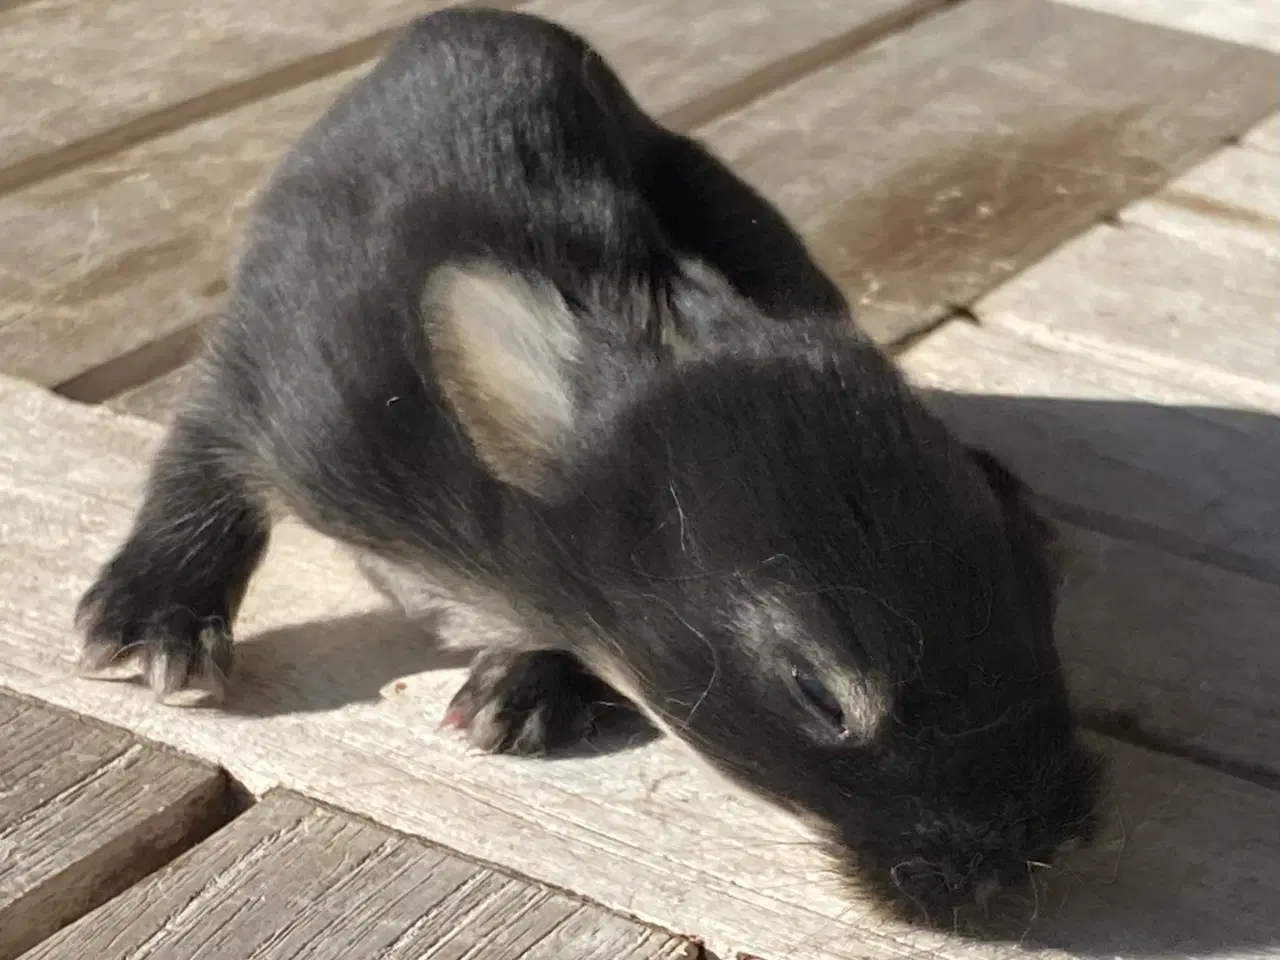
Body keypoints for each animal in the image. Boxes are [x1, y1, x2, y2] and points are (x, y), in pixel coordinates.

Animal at [74, 3, 1105, 926]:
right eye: (818, 694)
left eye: (1040, 592)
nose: (1020, 861)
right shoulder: (283, 393)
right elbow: (202, 464)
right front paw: (148, 630)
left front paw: (522, 693)